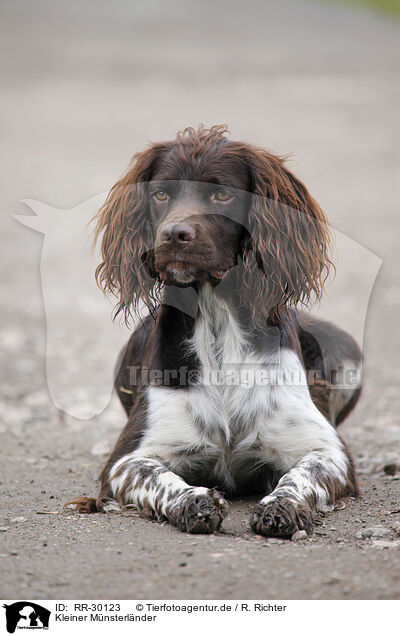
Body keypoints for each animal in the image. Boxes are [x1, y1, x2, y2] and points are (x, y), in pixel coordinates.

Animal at [71, 126, 362, 540]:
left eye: (222, 194)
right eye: (161, 194)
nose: (173, 234)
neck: (217, 324)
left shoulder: (328, 450)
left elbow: (299, 476)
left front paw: (282, 506)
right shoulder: (126, 459)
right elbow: (158, 477)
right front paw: (195, 501)